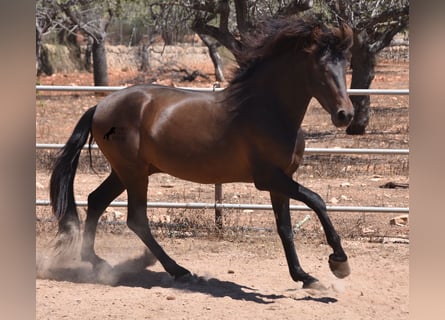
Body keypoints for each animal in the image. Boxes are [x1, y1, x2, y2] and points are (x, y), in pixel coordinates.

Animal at [48, 15, 354, 290]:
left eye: (345, 64)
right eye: (321, 66)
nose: (345, 115)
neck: (267, 110)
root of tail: (100, 106)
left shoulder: (281, 181)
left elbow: (286, 229)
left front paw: (305, 277)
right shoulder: (269, 178)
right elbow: (317, 201)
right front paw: (338, 262)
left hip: (126, 172)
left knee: (96, 201)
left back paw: (97, 262)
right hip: (133, 173)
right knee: (136, 218)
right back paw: (178, 270)